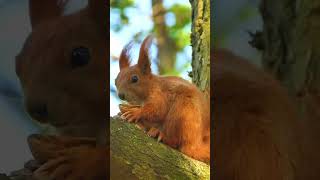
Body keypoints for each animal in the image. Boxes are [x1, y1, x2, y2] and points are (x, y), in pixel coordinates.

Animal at [115, 35, 210, 163]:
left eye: (135, 79)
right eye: (115, 81)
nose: (120, 95)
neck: (152, 85)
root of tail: (196, 144)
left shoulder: (160, 95)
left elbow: (157, 110)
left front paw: (136, 112)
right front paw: (124, 110)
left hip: (183, 111)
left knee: (178, 143)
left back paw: (161, 134)